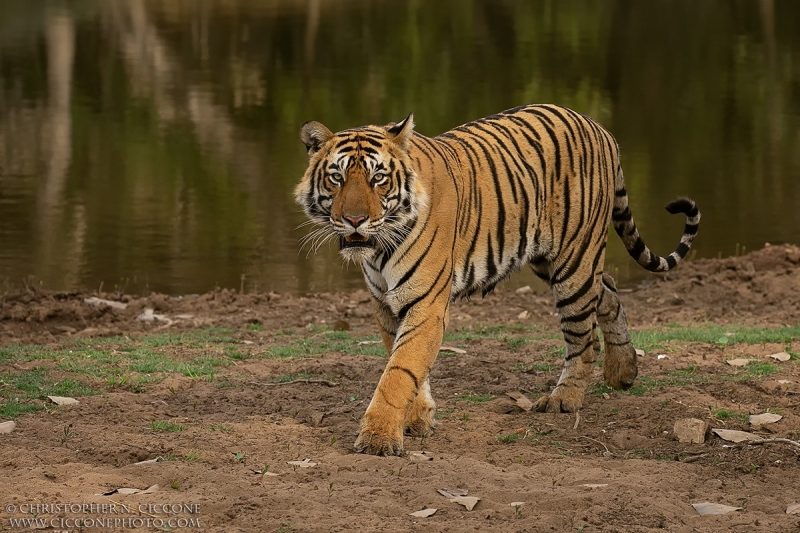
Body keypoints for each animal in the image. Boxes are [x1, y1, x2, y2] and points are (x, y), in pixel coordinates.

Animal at [294, 105, 700, 458]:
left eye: (378, 178)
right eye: (337, 178)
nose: (355, 220)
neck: (379, 248)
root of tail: (600, 128)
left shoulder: (425, 303)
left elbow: (399, 371)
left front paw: (378, 438)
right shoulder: (385, 304)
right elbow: (409, 365)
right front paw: (419, 419)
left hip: (574, 261)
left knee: (583, 339)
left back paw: (563, 400)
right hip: (551, 260)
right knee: (610, 290)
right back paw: (623, 371)